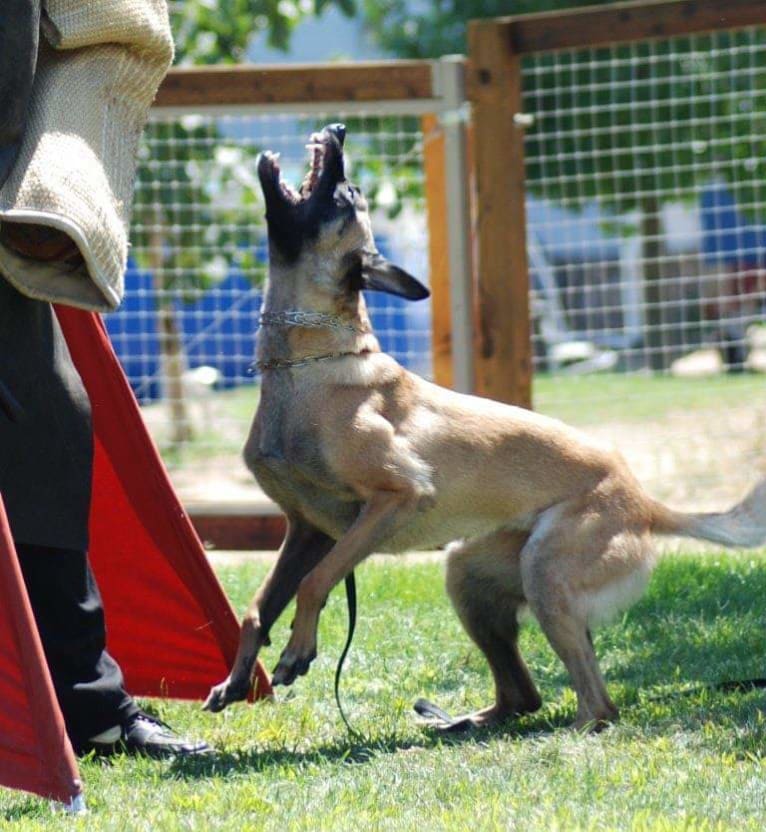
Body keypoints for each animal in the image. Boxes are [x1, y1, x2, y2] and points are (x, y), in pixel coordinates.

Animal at [204, 123, 766, 728]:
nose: (338, 130)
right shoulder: (307, 529)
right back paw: (461, 723)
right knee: (525, 694)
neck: (305, 366)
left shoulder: (393, 499)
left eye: (346, 194)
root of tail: (646, 502)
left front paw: (297, 650)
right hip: (469, 574)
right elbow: (256, 608)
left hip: (545, 572)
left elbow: (312, 583)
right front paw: (236, 678)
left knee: (598, 702)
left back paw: (567, 731)